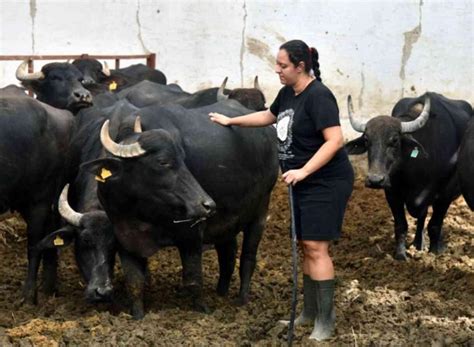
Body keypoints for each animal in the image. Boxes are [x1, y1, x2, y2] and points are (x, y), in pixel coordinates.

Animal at [82, 100, 280, 318]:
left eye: (183, 159)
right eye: (163, 161)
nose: (207, 204)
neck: (142, 212)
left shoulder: (191, 234)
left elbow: (193, 280)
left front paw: (203, 311)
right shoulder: (125, 238)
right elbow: (134, 282)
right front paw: (138, 316)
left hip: (260, 212)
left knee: (248, 257)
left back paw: (242, 300)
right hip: (228, 223)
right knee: (227, 254)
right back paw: (221, 293)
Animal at [346, 93, 472, 260]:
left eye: (394, 140)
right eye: (367, 140)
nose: (375, 180)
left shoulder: (445, 194)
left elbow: (435, 225)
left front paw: (434, 252)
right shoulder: (392, 194)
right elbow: (401, 225)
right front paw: (401, 255)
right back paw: (418, 243)